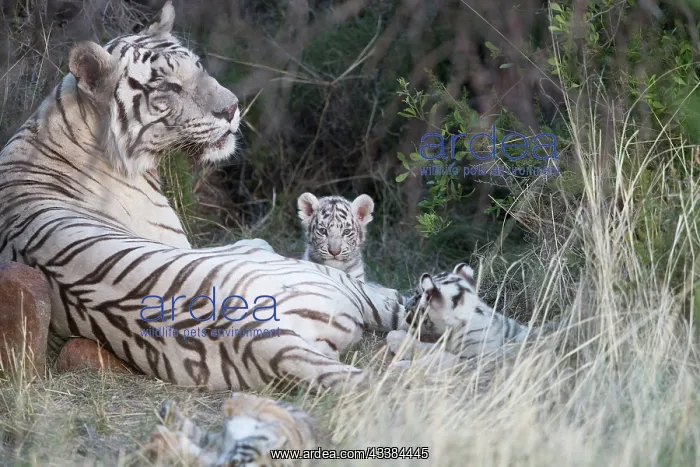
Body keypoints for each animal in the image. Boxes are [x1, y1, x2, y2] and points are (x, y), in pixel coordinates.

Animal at [386, 263, 558, 369]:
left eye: (418, 296)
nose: (406, 306)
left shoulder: (469, 359)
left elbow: (435, 359)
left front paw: (399, 367)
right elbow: (427, 347)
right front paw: (396, 338)